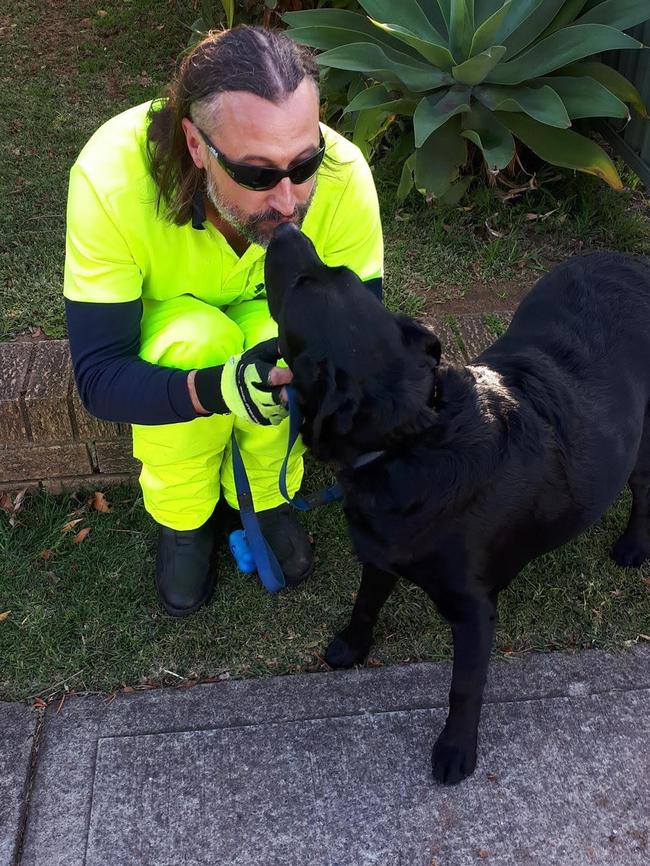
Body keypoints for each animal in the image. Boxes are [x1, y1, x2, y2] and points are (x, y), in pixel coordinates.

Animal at [264, 224, 648, 784]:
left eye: (301, 286)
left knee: (644, 489)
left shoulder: (474, 611)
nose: (286, 227)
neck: (409, 439)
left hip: (641, 441)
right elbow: (364, 605)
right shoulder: (380, 555)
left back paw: (634, 546)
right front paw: (352, 647)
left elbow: (464, 687)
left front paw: (455, 748)